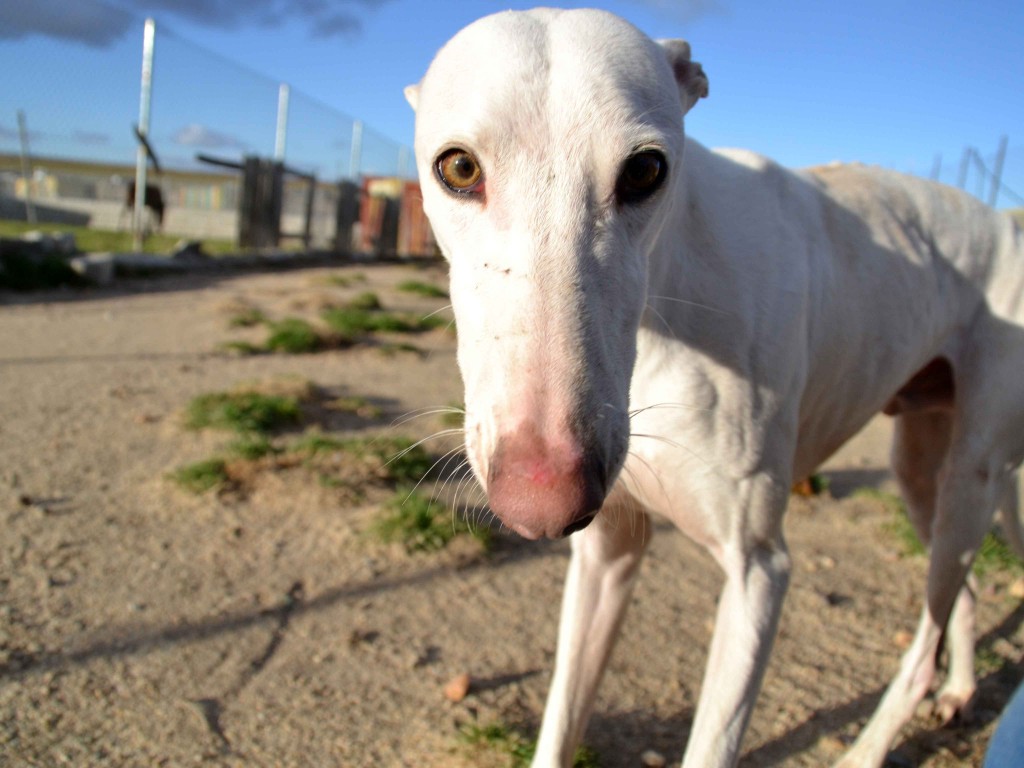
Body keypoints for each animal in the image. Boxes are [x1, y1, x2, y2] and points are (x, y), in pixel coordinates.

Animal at [403, 7, 1019, 768]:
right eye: (458, 167)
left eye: (646, 169)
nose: (541, 504)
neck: (670, 307)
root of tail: (1003, 222)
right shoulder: (607, 549)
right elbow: (560, 720)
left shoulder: (759, 572)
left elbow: (715, 739)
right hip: (918, 465)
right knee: (960, 592)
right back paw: (959, 687)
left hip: (973, 475)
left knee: (925, 636)